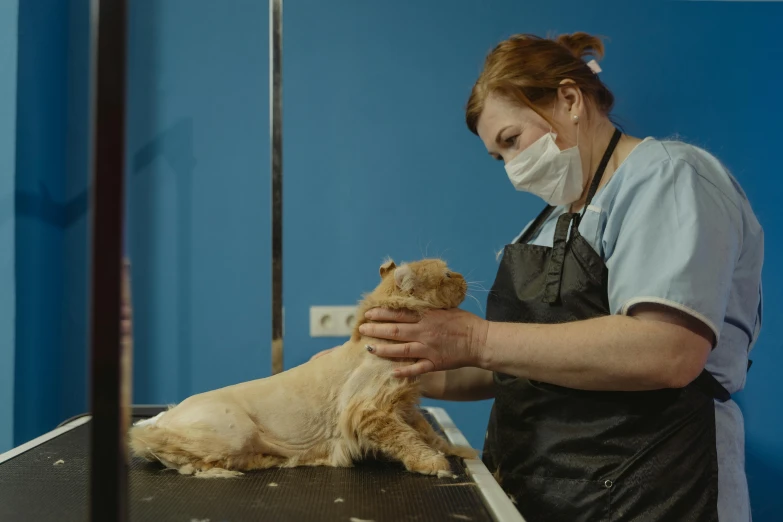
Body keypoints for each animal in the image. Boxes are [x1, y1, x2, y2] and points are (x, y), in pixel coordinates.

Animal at [129, 256, 478, 476]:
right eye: (448, 275)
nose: (464, 278)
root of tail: (160, 420)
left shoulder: (404, 406)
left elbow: (429, 434)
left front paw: (461, 453)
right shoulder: (369, 411)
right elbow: (408, 440)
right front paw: (434, 465)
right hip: (233, 431)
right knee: (171, 453)